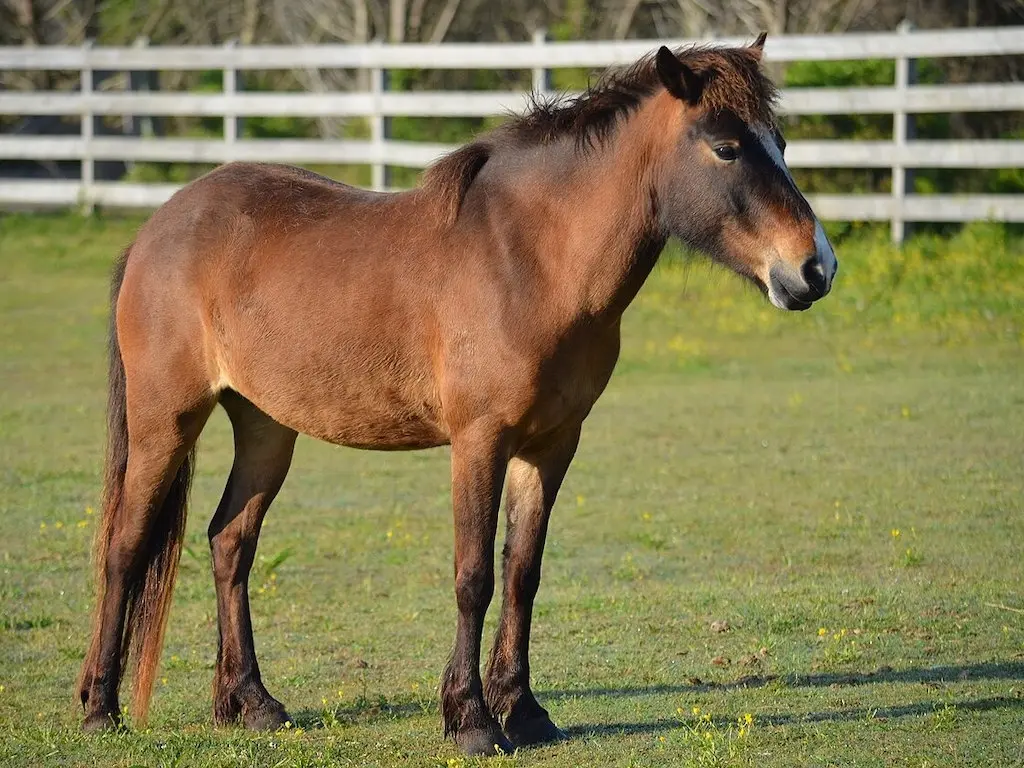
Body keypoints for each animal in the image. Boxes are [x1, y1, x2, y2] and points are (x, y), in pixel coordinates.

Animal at [77, 37, 831, 757]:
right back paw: (99, 709)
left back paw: (251, 704)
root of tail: (155, 230)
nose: (814, 268)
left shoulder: (551, 446)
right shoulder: (479, 441)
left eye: (781, 143)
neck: (530, 261)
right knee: (125, 547)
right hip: (165, 422)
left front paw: (524, 712)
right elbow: (475, 577)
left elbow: (523, 573)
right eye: (726, 146)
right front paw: (471, 720)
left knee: (230, 542)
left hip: (266, 428)